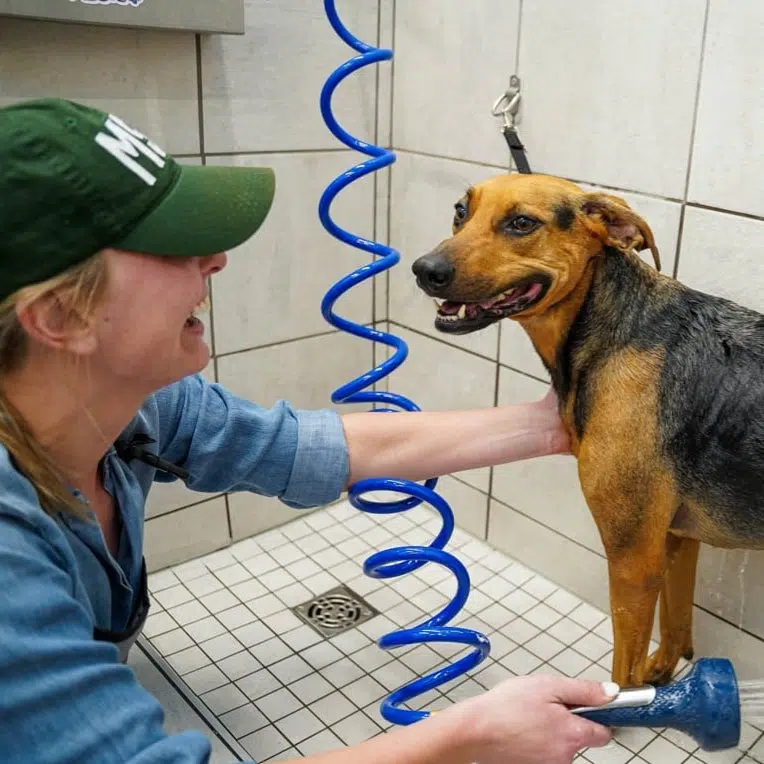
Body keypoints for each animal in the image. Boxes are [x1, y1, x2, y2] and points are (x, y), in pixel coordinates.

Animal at [412, 173, 764, 688]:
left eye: (522, 223)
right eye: (461, 211)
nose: (423, 269)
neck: (608, 325)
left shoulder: (633, 562)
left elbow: (623, 671)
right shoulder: (676, 538)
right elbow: (676, 624)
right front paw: (664, 677)